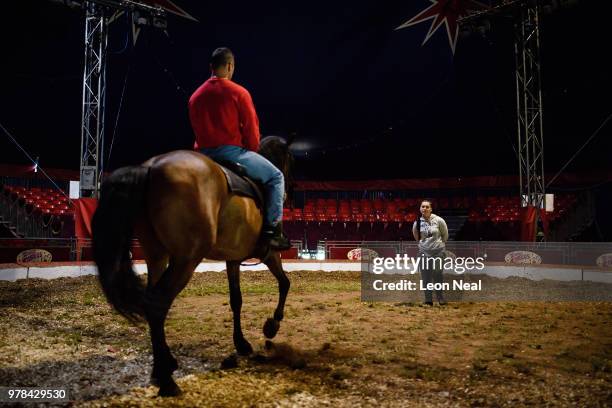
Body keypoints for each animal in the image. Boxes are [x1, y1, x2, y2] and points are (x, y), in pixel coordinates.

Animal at [92, 136, 296, 396]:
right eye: (290, 159)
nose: (290, 191)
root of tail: (151, 167)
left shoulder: (233, 259)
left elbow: (236, 300)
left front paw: (241, 343)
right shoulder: (269, 254)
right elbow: (285, 283)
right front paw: (272, 325)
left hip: (157, 255)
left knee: (151, 301)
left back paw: (165, 364)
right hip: (186, 259)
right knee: (158, 303)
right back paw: (166, 380)